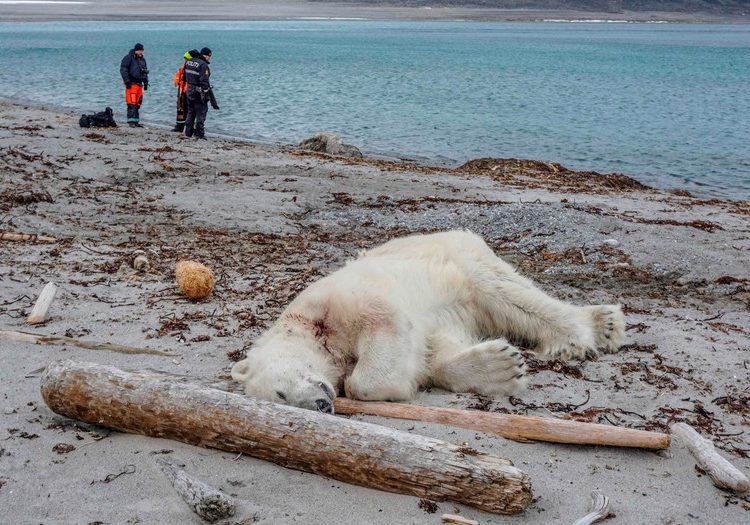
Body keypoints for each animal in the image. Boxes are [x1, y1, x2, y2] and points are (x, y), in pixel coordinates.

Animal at [231, 230, 625, 413]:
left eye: (280, 393)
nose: (321, 405)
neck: (309, 329)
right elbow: (434, 351)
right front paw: (499, 367)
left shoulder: (336, 302)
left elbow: (382, 328)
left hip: (461, 259)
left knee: (508, 294)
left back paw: (589, 330)